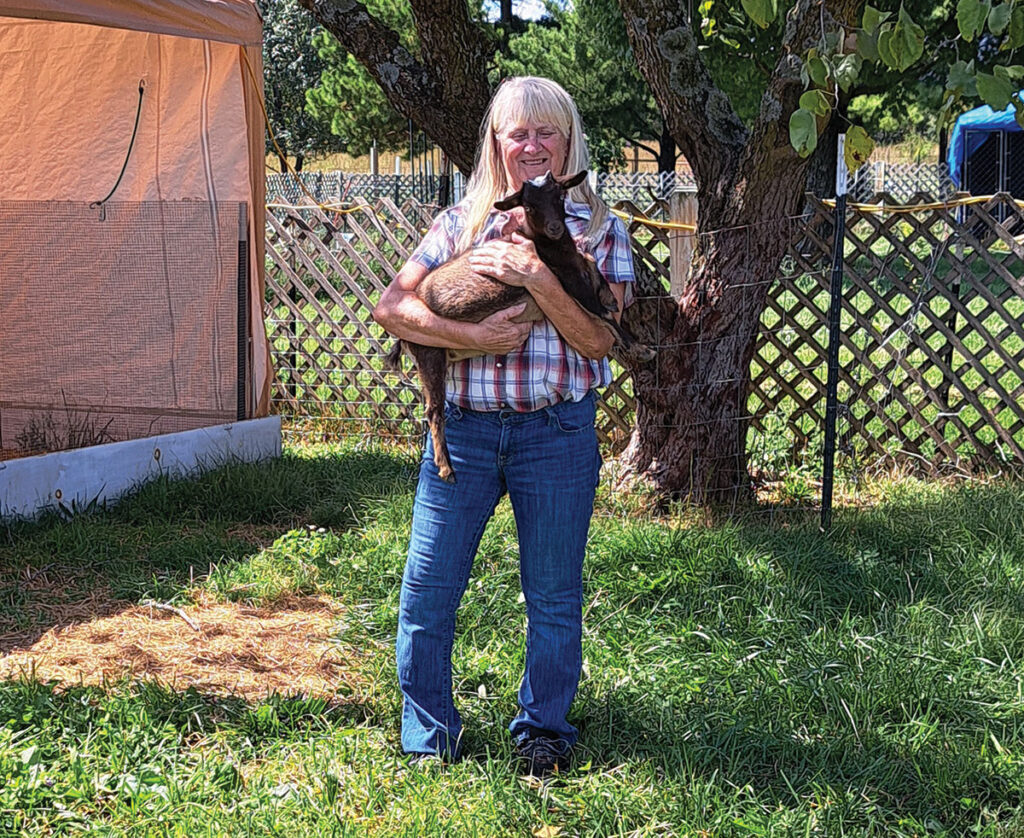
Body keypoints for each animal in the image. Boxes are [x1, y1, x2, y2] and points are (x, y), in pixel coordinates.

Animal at [387, 168, 651, 483]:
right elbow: (602, 315)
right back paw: (446, 468)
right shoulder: (566, 280)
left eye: (560, 196)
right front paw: (639, 348)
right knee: (434, 411)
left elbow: (589, 261)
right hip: (430, 353)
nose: (554, 228)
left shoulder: (570, 269)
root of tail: (403, 339)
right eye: (529, 206)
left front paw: (610, 294)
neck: (551, 247)